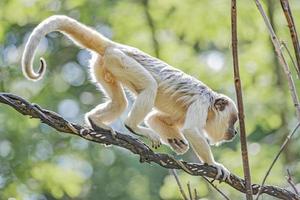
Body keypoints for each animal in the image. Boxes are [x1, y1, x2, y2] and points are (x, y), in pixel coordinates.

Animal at [21, 15, 238, 181]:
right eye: (233, 121)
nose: (235, 132)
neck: (210, 104)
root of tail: (116, 46)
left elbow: (155, 118)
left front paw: (176, 141)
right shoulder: (201, 103)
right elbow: (192, 130)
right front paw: (214, 164)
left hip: (104, 65)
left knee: (120, 102)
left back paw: (96, 121)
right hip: (122, 61)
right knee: (149, 86)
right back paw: (132, 126)